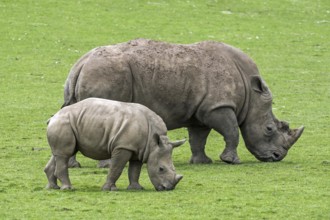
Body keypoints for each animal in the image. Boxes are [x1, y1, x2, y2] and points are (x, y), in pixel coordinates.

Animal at [43, 98, 184, 191]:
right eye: (161, 169)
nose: (168, 188)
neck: (153, 143)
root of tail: (53, 117)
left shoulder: (139, 149)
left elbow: (135, 170)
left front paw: (136, 188)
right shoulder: (123, 146)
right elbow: (117, 168)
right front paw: (108, 189)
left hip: (67, 124)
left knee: (59, 153)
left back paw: (53, 188)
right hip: (63, 123)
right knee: (64, 154)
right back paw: (68, 189)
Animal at [62, 38, 304, 167]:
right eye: (269, 128)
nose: (277, 157)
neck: (251, 94)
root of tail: (81, 63)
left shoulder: (202, 112)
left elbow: (198, 138)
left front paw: (202, 162)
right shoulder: (219, 106)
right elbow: (232, 131)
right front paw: (231, 161)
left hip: (87, 75)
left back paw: (74, 166)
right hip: (105, 73)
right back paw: (106, 165)